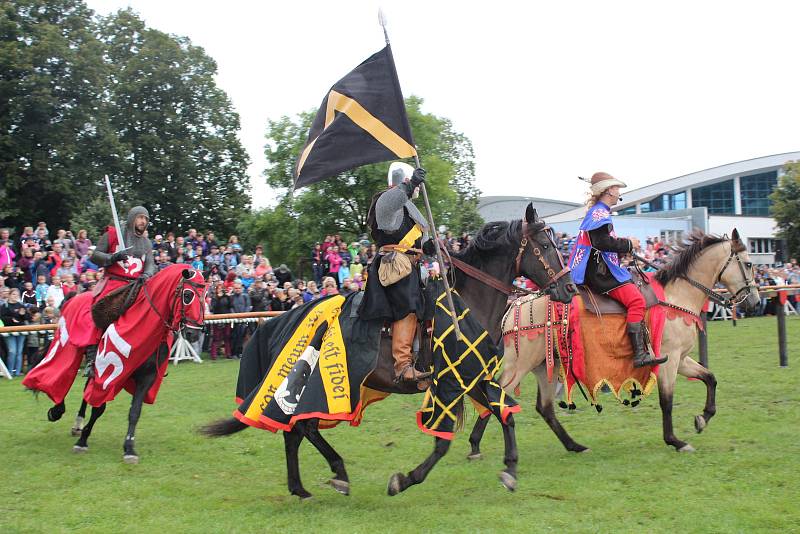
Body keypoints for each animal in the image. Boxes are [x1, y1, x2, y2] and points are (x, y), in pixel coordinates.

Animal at [25, 268, 206, 464]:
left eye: (205, 295)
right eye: (187, 295)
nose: (194, 333)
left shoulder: (146, 378)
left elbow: (134, 411)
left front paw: (129, 448)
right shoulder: (107, 374)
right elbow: (99, 408)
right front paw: (82, 441)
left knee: (84, 391)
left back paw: (77, 424)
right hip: (70, 347)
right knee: (57, 372)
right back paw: (57, 410)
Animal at [199, 206, 576, 502]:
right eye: (545, 245)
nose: (569, 288)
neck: (468, 303)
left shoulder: (476, 377)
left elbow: (505, 415)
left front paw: (510, 469)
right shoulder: (451, 383)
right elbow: (442, 443)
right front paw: (405, 480)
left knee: (295, 431)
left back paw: (301, 488)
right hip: (324, 387)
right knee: (303, 428)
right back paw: (337, 473)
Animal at [466, 228, 760, 458]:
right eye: (748, 264)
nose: (755, 302)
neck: (677, 297)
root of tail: (513, 306)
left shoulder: (682, 359)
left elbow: (710, 378)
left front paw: (702, 418)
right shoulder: (669, 361)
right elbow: (667, 401)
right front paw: (675, 441)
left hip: (544, 365)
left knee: (545, 408)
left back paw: (574, 445)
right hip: (521, 364)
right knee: (496, 393)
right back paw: (475, 444)